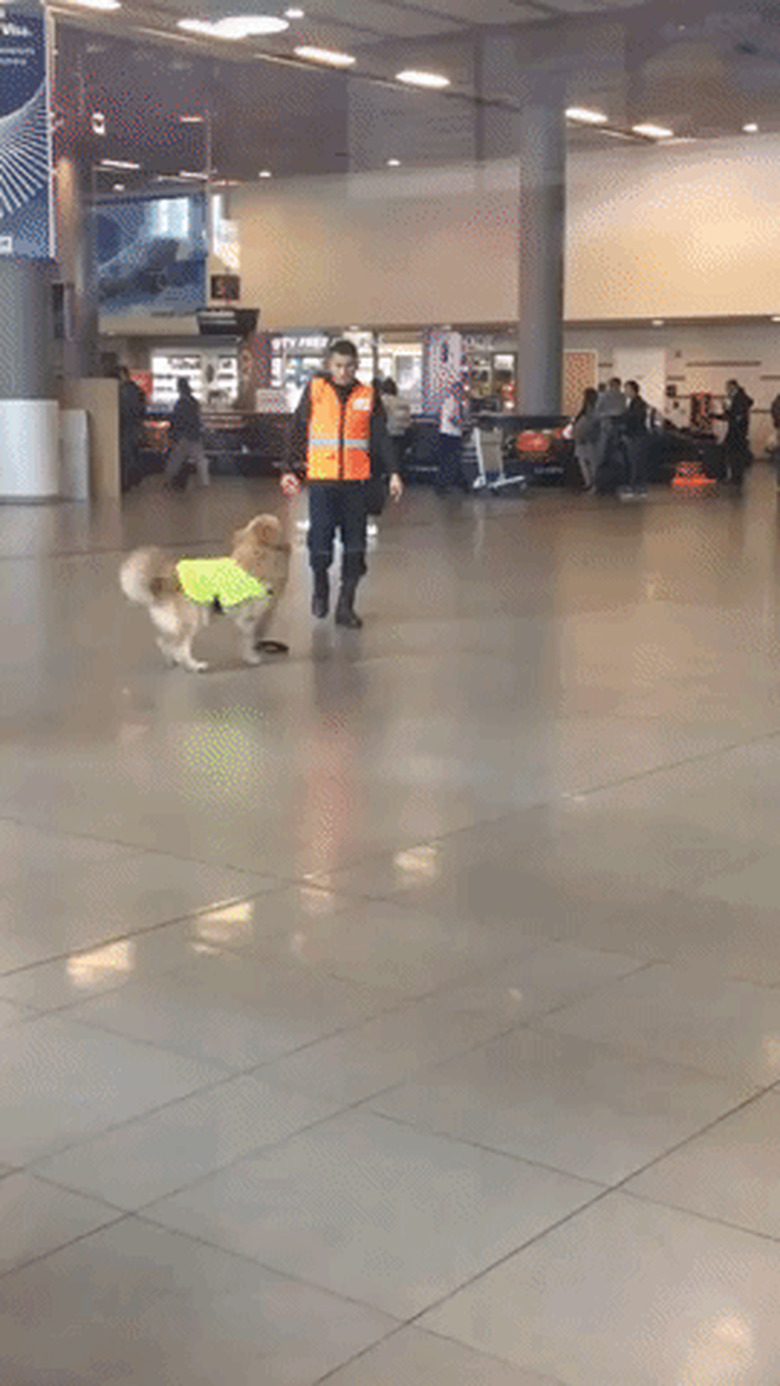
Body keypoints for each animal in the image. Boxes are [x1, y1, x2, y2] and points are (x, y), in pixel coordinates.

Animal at [120, 515, 290, 676]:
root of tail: (161, 585)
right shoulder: (250, 617)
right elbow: (250, 638)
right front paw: (252, 657)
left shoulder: (245, 618)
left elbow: (247, 638)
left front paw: (249, 655)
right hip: (194, 619)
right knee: (179, 647)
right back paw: (194, 666)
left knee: (164, 642)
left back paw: (173, 661)